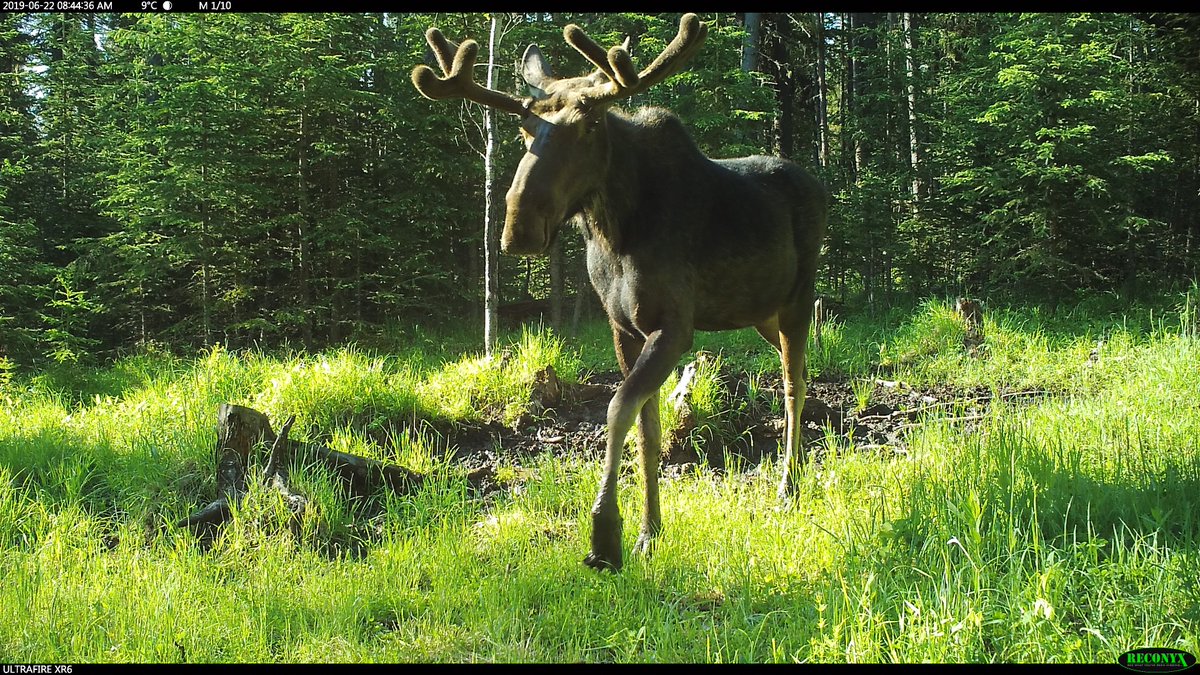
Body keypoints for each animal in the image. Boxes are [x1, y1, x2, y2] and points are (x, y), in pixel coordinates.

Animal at [412, 13, 828, 571]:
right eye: (524, 128)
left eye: (590, 124)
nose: (519, 227)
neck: (614, 231)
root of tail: (820, 185)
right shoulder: (622, 325)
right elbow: (648, 428)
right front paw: (650, 532)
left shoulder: (674, 326)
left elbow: (617, 408)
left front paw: (605, 532)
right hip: (761, 313)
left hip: (797, 301)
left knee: (793, 386)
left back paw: (789, 486)